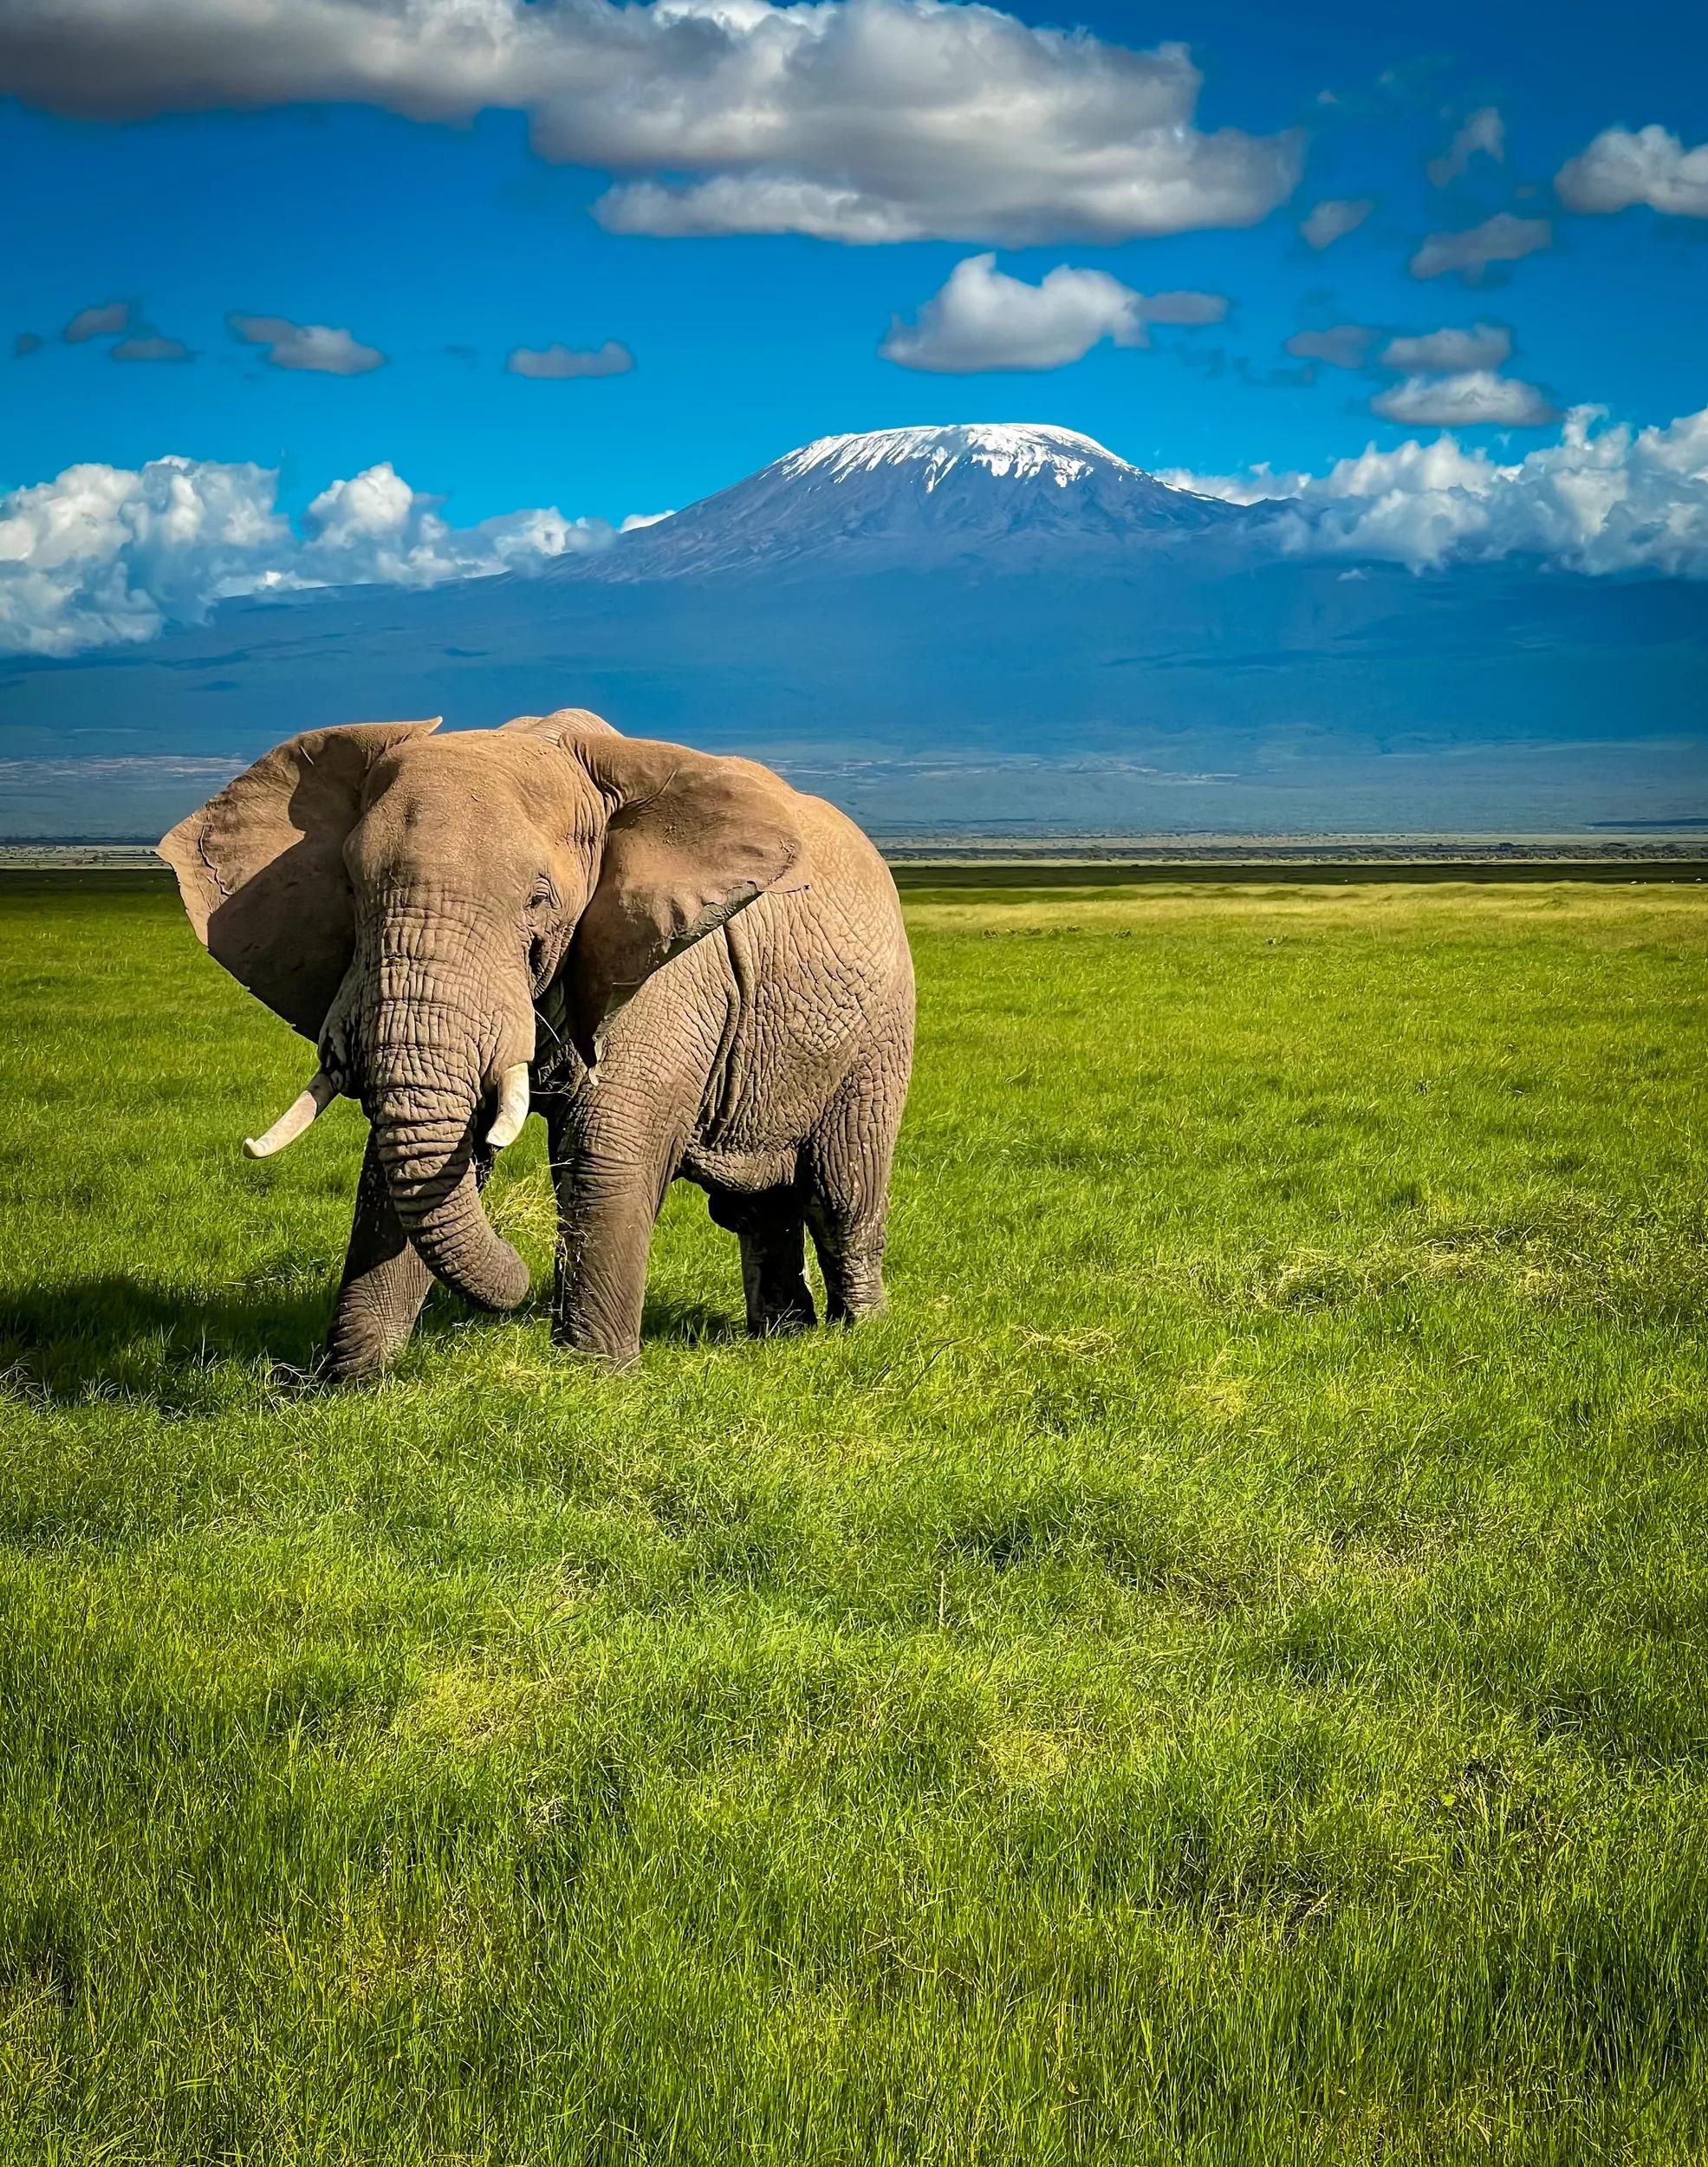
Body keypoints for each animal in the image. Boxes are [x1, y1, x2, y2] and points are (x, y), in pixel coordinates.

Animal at [158, 708, 914, 1377]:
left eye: (538, 901)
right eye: (351, 890)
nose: (517, 1284)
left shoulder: (665, 963)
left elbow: (604, 1147)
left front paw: (594, 1382)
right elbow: (402, 1163)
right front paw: (349, 1385)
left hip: (879, 1033)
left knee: (841, 1192)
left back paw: (857, 1337)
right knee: (757, 1206)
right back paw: (779, 1338)